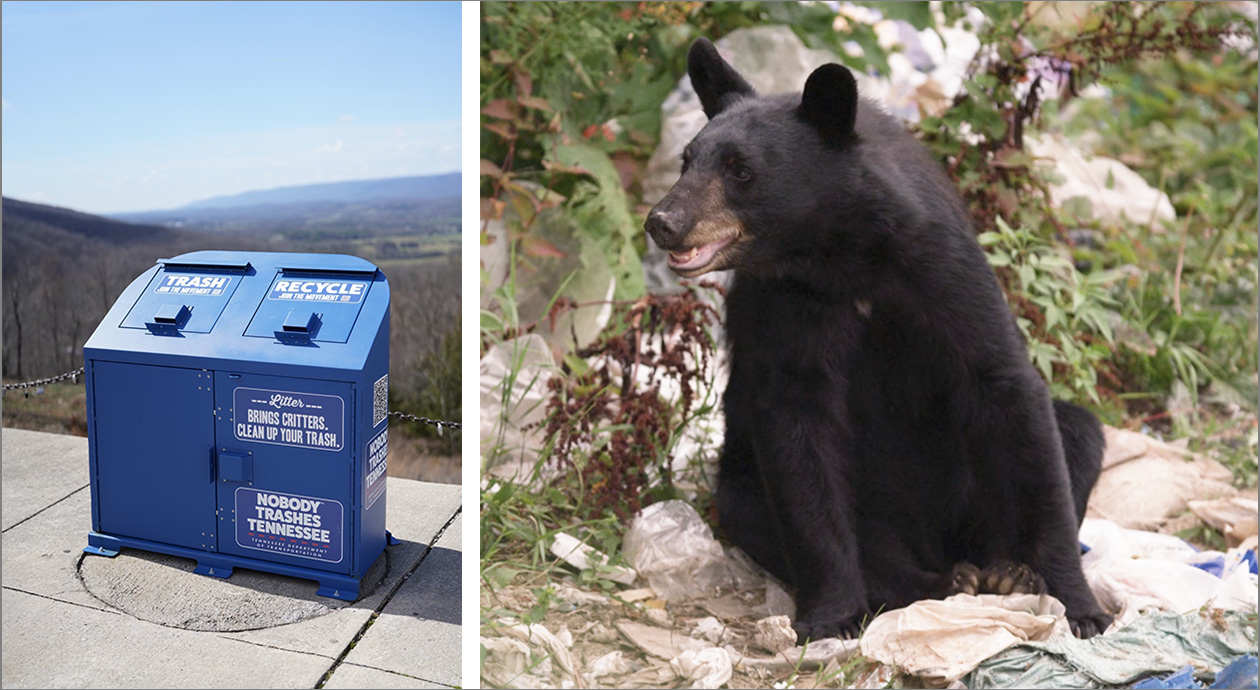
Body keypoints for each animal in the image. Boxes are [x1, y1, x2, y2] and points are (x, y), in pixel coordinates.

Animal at [645, 38, 1113, 640]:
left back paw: (1007, 572)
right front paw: (831, 615)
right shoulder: (783, 305)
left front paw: (1078, 605)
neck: (842, 258)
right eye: (687, 161)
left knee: (1077, 434)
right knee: (770, 513)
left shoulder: (943, 270)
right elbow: (799, 441)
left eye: (741, 170)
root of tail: (936, 545)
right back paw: (939, 582)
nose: (663, 221)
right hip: (756, 492)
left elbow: (1009, 395)